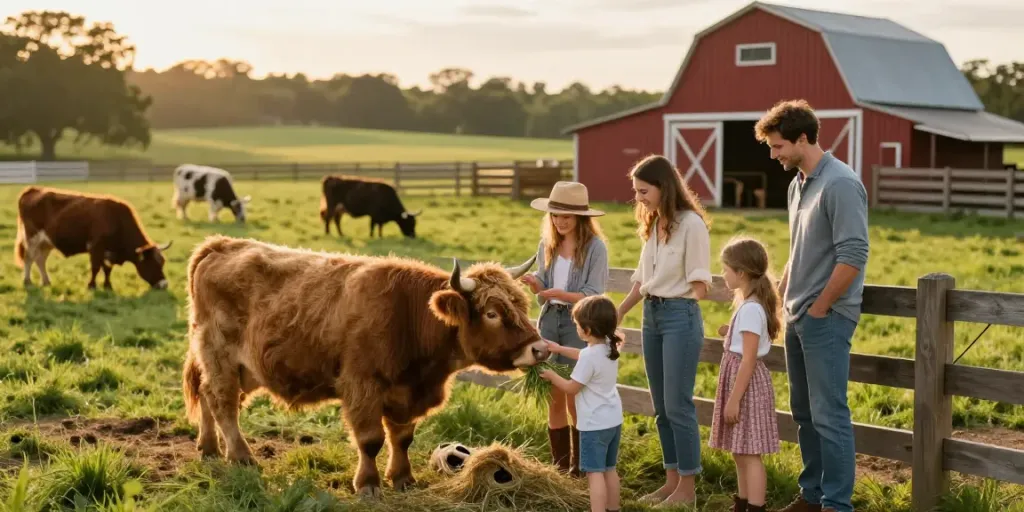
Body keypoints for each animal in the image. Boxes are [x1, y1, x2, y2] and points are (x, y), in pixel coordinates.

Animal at [13, 186, 173, 290]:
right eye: (152, 263)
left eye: (162, 262)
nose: (164, 284)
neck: (116, 220)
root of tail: (33, 189)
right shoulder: (95, 247)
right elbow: (96, 268)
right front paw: (92, 285)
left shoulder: (108, 251)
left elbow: (107, 269)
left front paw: (107, 285)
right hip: (32, 238)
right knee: (29, 258)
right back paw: (27, 281)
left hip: (46, 242)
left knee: (40, 259)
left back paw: (46, 281)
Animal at [181, 235, 547, 498]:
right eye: (492, 313)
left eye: (521, 305)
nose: (540, 348)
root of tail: (221, 245)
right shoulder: (362, 386)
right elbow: (371, 439)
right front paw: (368, 485)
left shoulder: (406, 393)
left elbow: (402, 438)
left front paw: (403, 478)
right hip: (220, 354)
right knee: (223, 402)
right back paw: (240, 457)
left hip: (242, 368)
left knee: (209, 395)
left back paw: (209, 449)